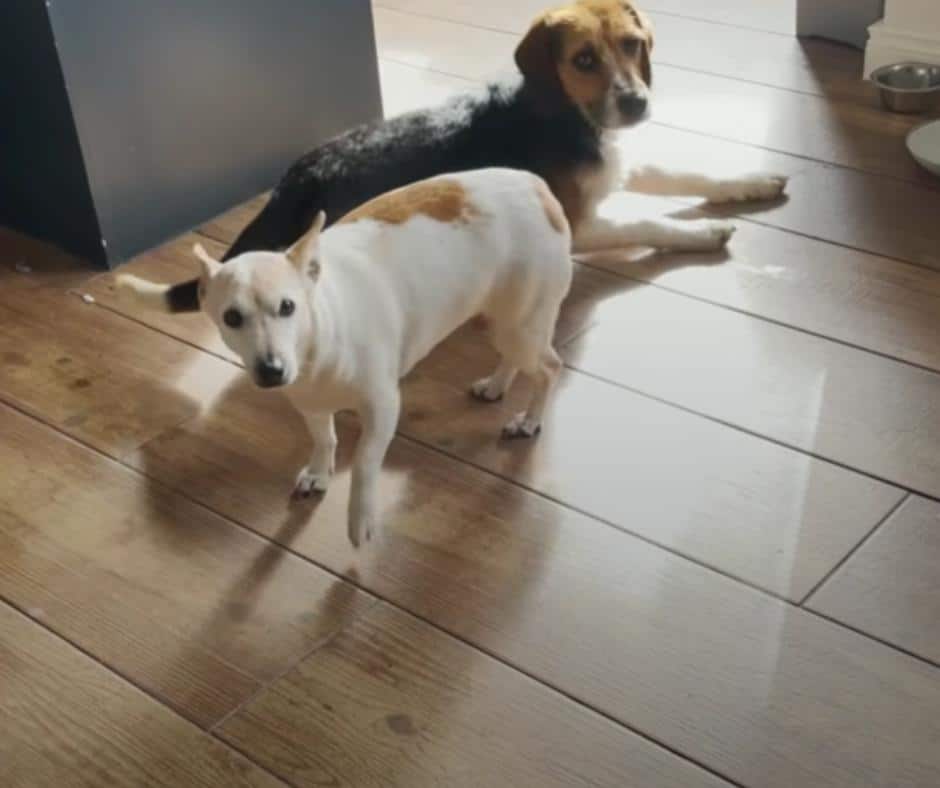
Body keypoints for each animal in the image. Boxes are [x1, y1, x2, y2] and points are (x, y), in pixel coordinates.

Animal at [118, 169, 573, 547]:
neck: (319, 348)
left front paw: (360, 520)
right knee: (517, 359)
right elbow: (324, 438)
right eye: (231, 318)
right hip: (505, 323)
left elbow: (366, 463)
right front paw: (320, 472)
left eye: (288, 307)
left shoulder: (383, 407)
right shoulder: (310, 404)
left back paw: (530, 420)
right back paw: (496, 385)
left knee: (549, 368)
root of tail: (537, 187)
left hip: (521, 324)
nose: (271, 370)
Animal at [159, 0, 786, 313]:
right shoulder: (578, 222)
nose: (636, 103)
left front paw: (753, 182)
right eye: (583, 60)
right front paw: (705, 234)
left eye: (633, 45)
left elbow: (691, 173)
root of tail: (292, 181)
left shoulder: (617, 166)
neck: (561, 111)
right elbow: (650, 223)